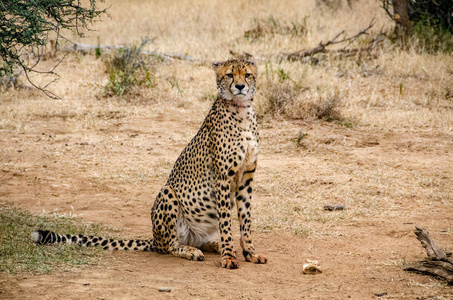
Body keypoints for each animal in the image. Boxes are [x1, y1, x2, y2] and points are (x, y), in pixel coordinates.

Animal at [33, 59, 266, 270]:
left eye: (247, 75)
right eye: (229, 75)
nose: (240, 87)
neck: (241, 111)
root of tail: (155, 238)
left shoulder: (246, 177)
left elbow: (246, 220)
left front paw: (250, 252)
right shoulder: (223, 177)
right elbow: (226, 222)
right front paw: (229, 257)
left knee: (196, 241)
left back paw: (213, 245)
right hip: (168, 193)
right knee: (169, 246)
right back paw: (191, 251)